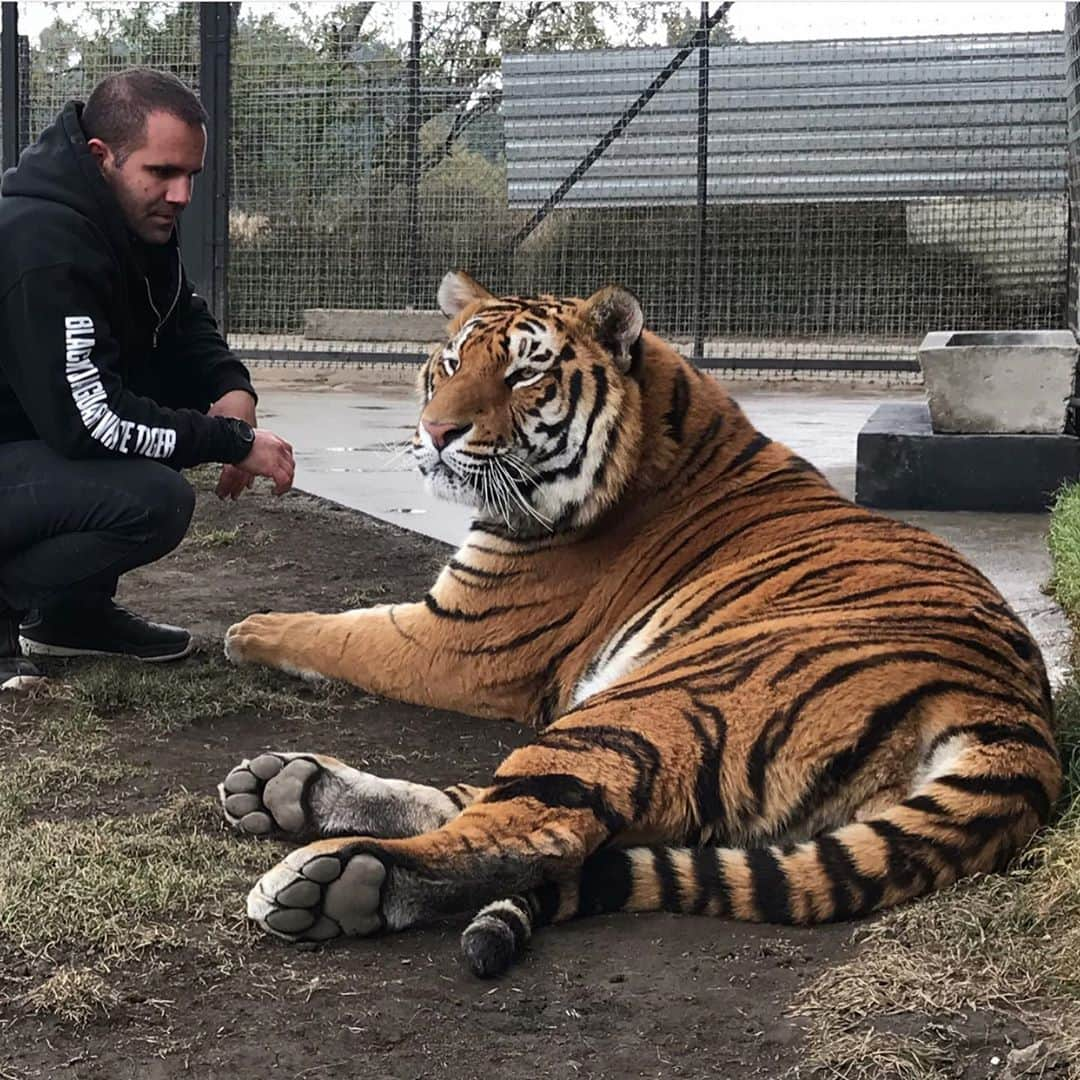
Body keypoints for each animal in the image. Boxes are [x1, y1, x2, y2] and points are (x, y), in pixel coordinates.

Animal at [221, 267, 1062, 980]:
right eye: (451, 364)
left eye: (524, 373)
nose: (434, 434)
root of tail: (1015, 720)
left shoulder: (456, 638)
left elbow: (341, 630)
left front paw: (249, 629)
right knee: (517, 808)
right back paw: (288, 788)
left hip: (653, 702)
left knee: (535, 830)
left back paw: (338, 876)